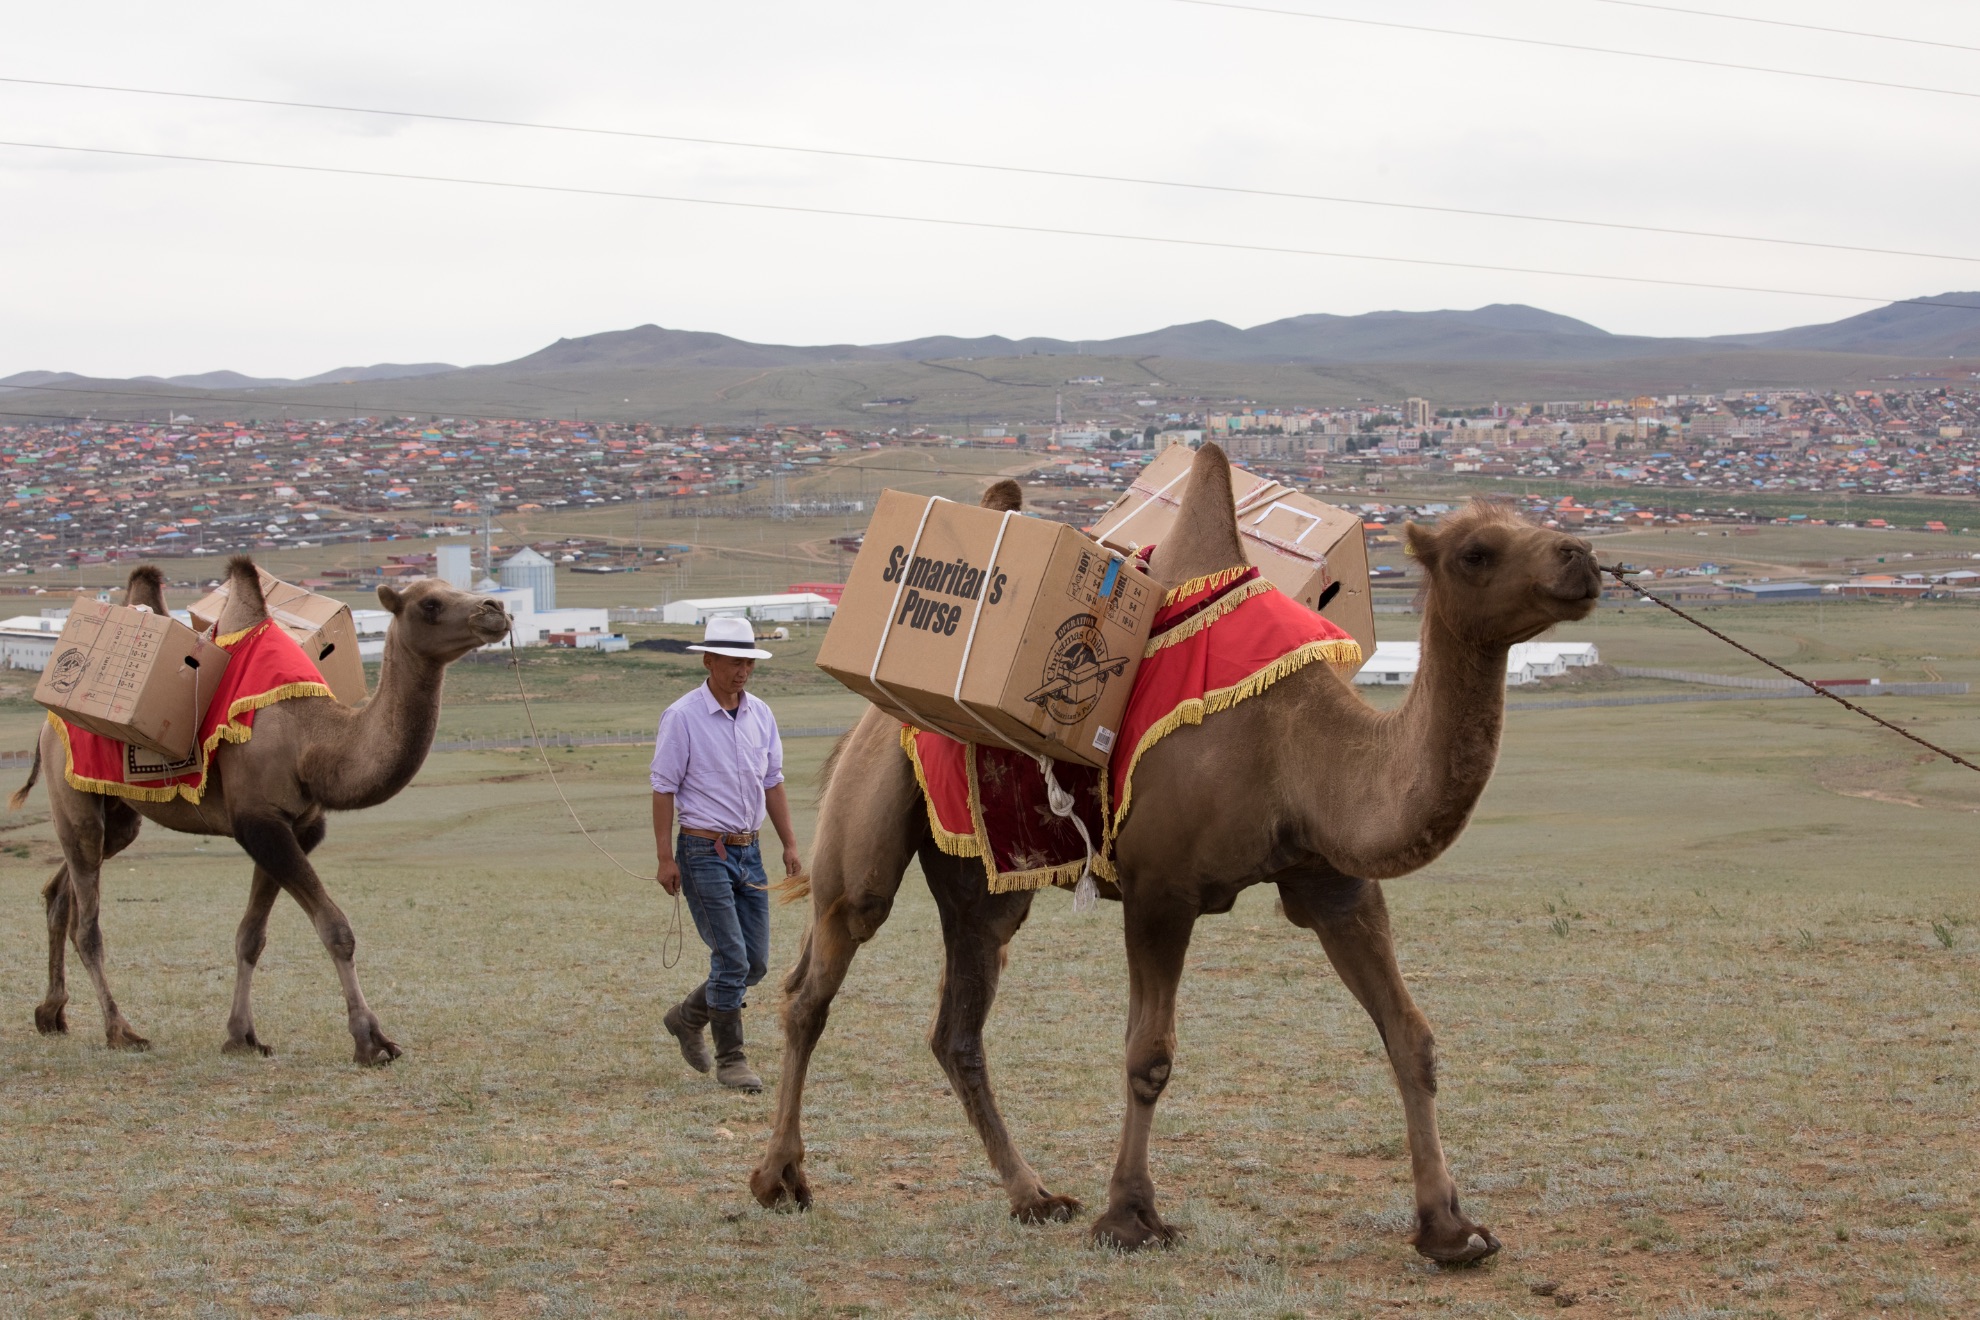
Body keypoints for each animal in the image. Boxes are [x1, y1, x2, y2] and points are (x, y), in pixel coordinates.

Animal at [13, 558, 510, 1060]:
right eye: (430, 603)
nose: (495, 608)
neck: (311, 741)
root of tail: (46, 724)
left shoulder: (299, 826)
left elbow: (251, 936)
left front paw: (241, 1036)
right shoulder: (259, 822)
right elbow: (336, 928)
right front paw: (371, 1041)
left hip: (118, 817)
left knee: (61, 893)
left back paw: (51, 1014)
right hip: (72, 796)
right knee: (88, 923)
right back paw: (121, 1030)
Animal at [748, 449, 1599, 1266]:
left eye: (1540, 524)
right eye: (1477, 552)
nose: (1584, 558)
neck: (1295, 749)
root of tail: (861, 723)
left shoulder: (1333, 884)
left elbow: (1409, 1036)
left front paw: (1452, 1230)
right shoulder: (1161, 887)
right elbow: (1147, 1055)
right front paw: (1130, 1219)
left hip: (984, 881)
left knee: (956, 1026)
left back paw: (1033, 1196)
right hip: (867, 829)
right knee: (813, 987)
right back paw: (779, 1179)